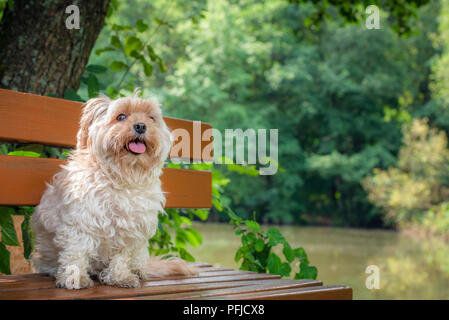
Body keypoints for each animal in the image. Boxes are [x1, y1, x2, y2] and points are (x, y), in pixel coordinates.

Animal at [32, 92, 197, 290]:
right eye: (121, 116)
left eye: (151, 118)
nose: (141, 126)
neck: (122, 177)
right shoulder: (81, 223)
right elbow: (76, 252)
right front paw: (74, 277)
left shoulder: (132, 230)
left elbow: (122, 258)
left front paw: (120, 277)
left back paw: (138, 271)